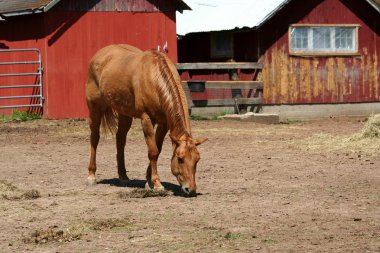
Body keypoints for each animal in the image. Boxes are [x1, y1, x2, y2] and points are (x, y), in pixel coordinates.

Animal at [85, 44, 208, 197]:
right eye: (180, 159)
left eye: (197, 159)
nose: (190, 190)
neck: (153, 77)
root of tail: (99, 55)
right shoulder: (146, 119)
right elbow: (153, 151)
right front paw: (157, 184)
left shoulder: (163, 123)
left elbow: (158, 149)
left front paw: (148, 181)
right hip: (95, 107)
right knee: (94, 138)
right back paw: (91, 176)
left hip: (124, 113)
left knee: (120, 139)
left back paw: (123, 177)